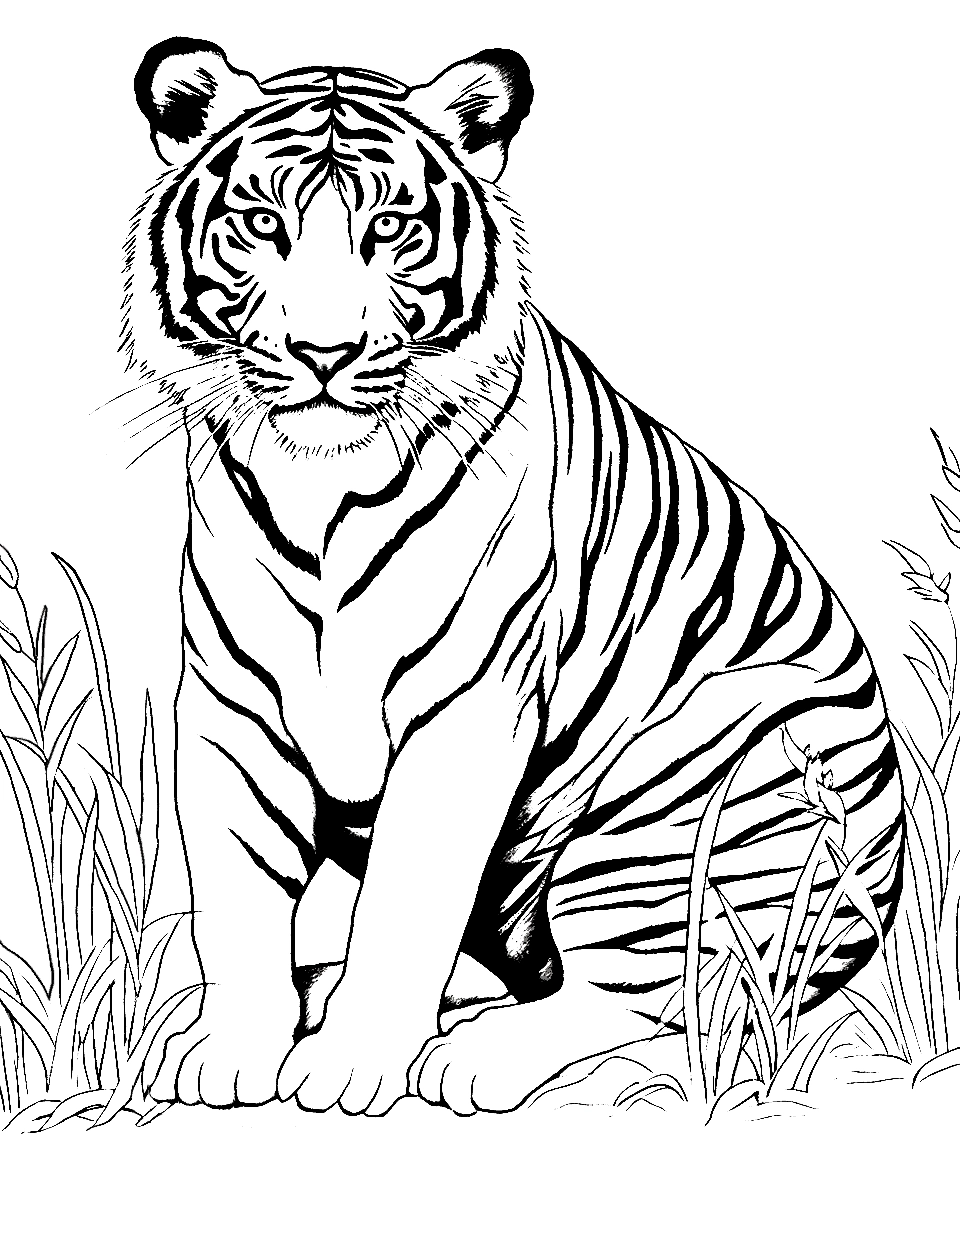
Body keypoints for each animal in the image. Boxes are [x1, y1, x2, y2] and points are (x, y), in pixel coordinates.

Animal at [126, 38, 904, 1116]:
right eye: (262, 225)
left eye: (389, 228)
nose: (323, 353)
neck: (316, 487)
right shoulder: (231, 710)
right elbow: (237, 894)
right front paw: (234, 1047)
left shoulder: (465, 711)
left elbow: (407, 903)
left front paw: (355, 1062)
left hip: (685, 800)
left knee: (652, 997)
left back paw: (471, 1058)